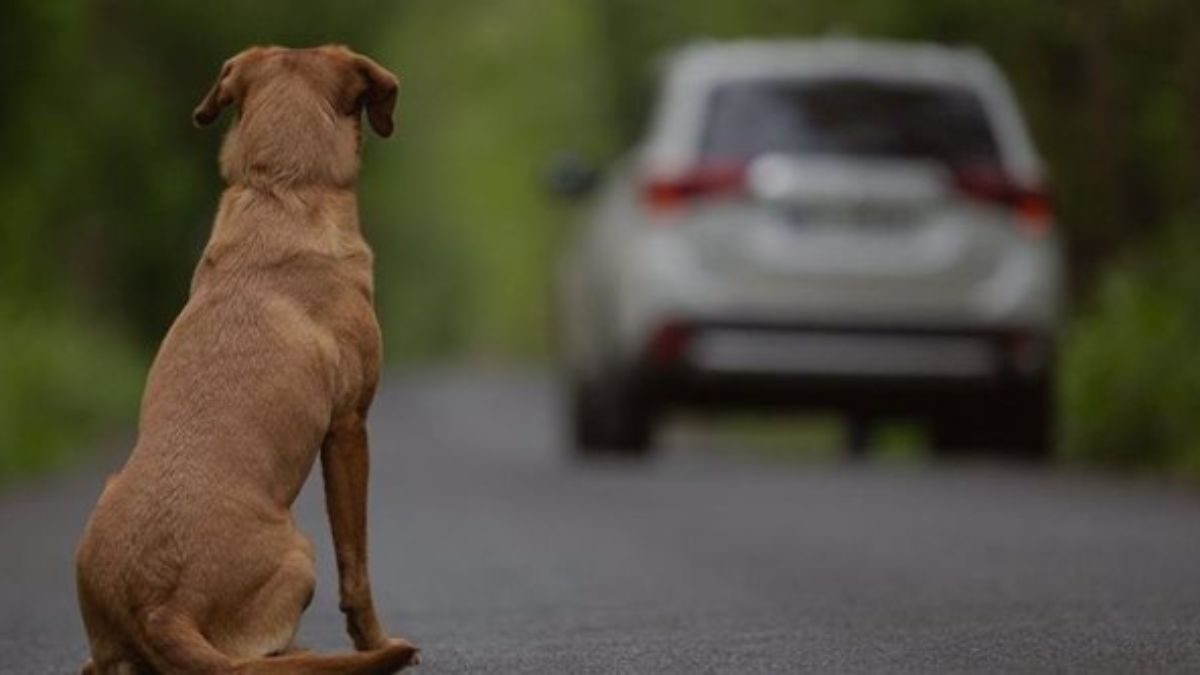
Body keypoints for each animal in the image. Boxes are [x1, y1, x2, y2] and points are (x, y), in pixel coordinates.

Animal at [75, 44, 420, 667]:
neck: (281, 188)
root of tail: (159, 607)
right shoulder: (349, 426)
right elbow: (356, 565)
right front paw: (376, 641)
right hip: (300, 552)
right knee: (262, 652)